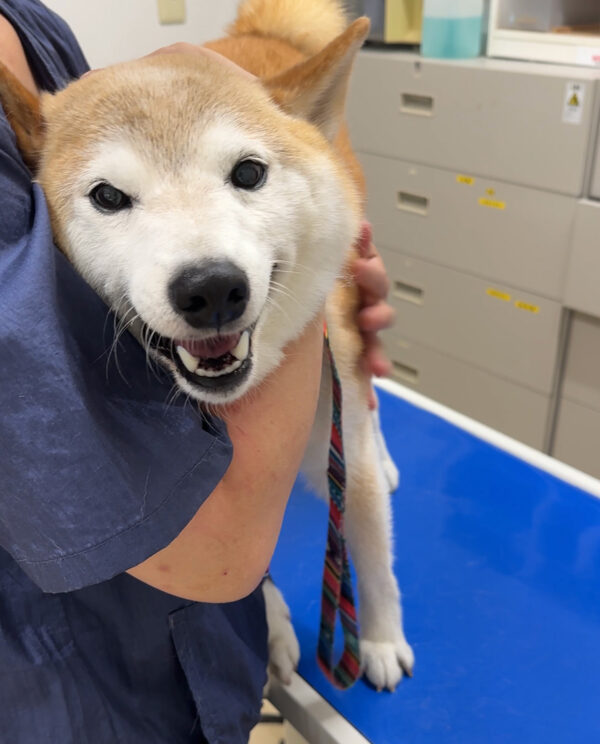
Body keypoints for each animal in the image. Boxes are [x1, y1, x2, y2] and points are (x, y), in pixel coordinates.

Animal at [0, 0, 412, 688]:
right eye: (108, 196)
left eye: (248, 173)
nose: (212, 288)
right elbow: (251, 563)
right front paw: (274, 623)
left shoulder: (335, 408)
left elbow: (373, 546)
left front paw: (380, 638)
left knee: (370, 403)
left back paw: (384, 460)